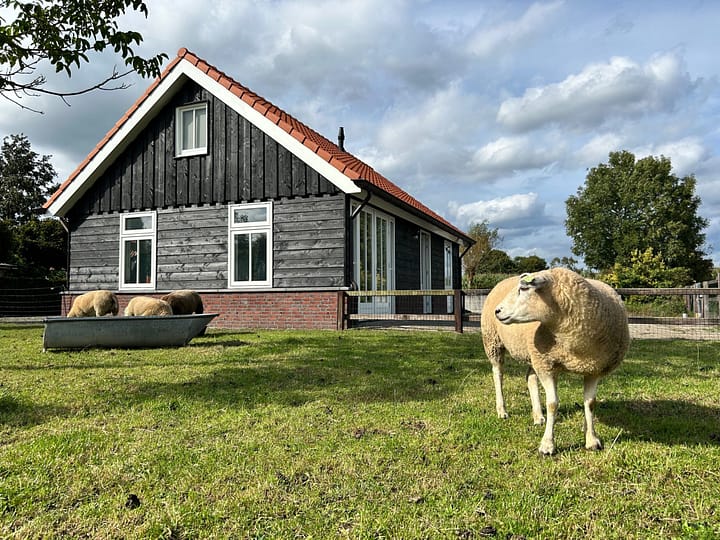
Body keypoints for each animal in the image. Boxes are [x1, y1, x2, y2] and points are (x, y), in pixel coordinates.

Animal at [480, 267, 629, 455]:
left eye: (523, 289)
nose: (498, 311)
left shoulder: (593, 369)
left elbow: (590, 404)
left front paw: (592, 439)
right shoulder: (547, 365)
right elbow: (552, 404)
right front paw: (547, 445)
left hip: (532, 353)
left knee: (530, 377)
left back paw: (538, 416)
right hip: (493, 341)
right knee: (498, 375)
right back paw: (502, 410)